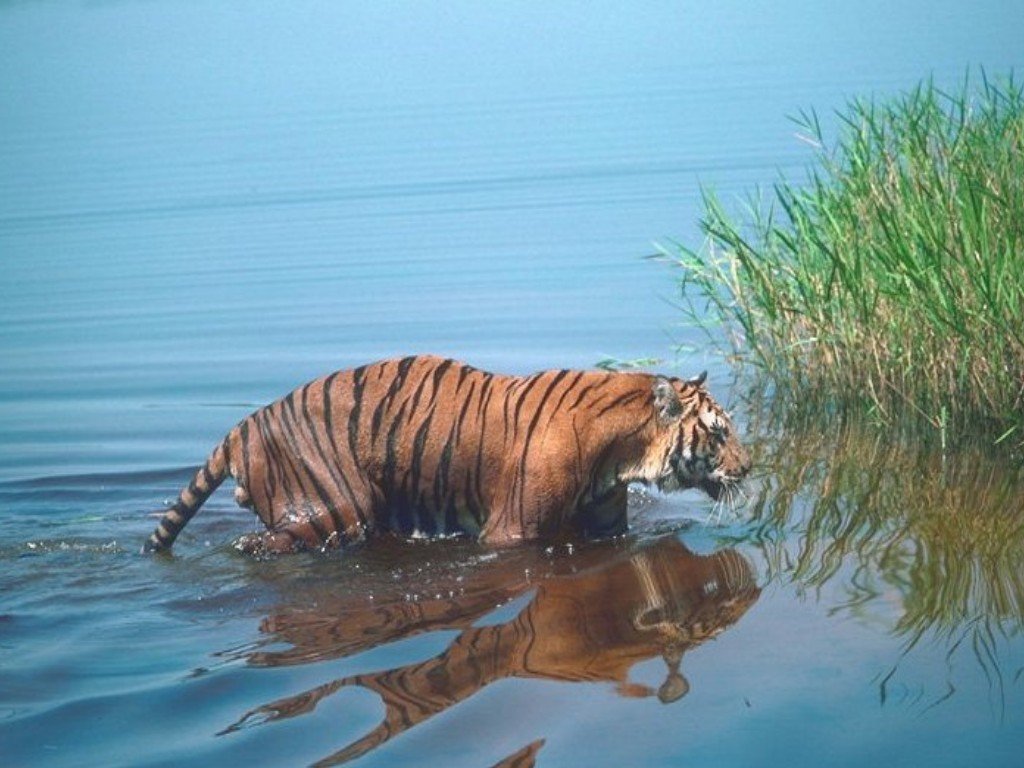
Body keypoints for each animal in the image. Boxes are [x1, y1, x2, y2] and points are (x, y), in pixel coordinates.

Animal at [142, 354, 753, 552]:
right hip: (331, 508)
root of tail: (245, 424)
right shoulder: (510, 532)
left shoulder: (607, 525)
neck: (624, 454)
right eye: (719, 433)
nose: (751, 467)